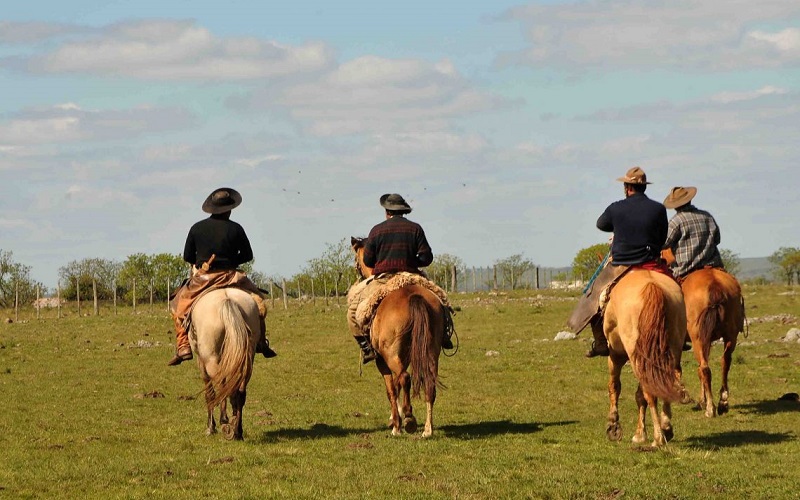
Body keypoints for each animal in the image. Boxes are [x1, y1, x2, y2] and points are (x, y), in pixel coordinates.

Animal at [189, 288, 258, 440]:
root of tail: (227, 300)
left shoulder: (201, 362)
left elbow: (209, 394)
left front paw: (210, 427)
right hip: (246, 361)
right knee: (240, 393)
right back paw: (237, 430)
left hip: (211, 359)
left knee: (221, 386)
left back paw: (224, 420)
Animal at [348, 238, 444, 438]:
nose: (359, 276)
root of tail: (414, 296)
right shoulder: (403, 358)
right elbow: (397, 385)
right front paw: (395, 418)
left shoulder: (383, 361)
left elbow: (391, 389)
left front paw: (395, 424)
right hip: (431, 352)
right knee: (429, 385)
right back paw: (427, 430)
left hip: (391, 355)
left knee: (405, 379)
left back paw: (408, 418)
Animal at [604, 272, 684, 448]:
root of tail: (652, 287)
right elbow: (640, 395)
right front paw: (640, 433)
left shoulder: (616, 354)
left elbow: (615, 386)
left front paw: (614, 426)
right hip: (671, 348)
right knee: (668, 381)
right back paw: (665, 427)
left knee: (651, 391)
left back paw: (658, 438)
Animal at [660, 248, 748, 416]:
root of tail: (715, 284)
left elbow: (678, 367)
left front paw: (687, 395)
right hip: (729, 336)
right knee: (724, 362)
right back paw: (722, 402)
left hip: (698, 339)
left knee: (705, 369)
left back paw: (710, 408)